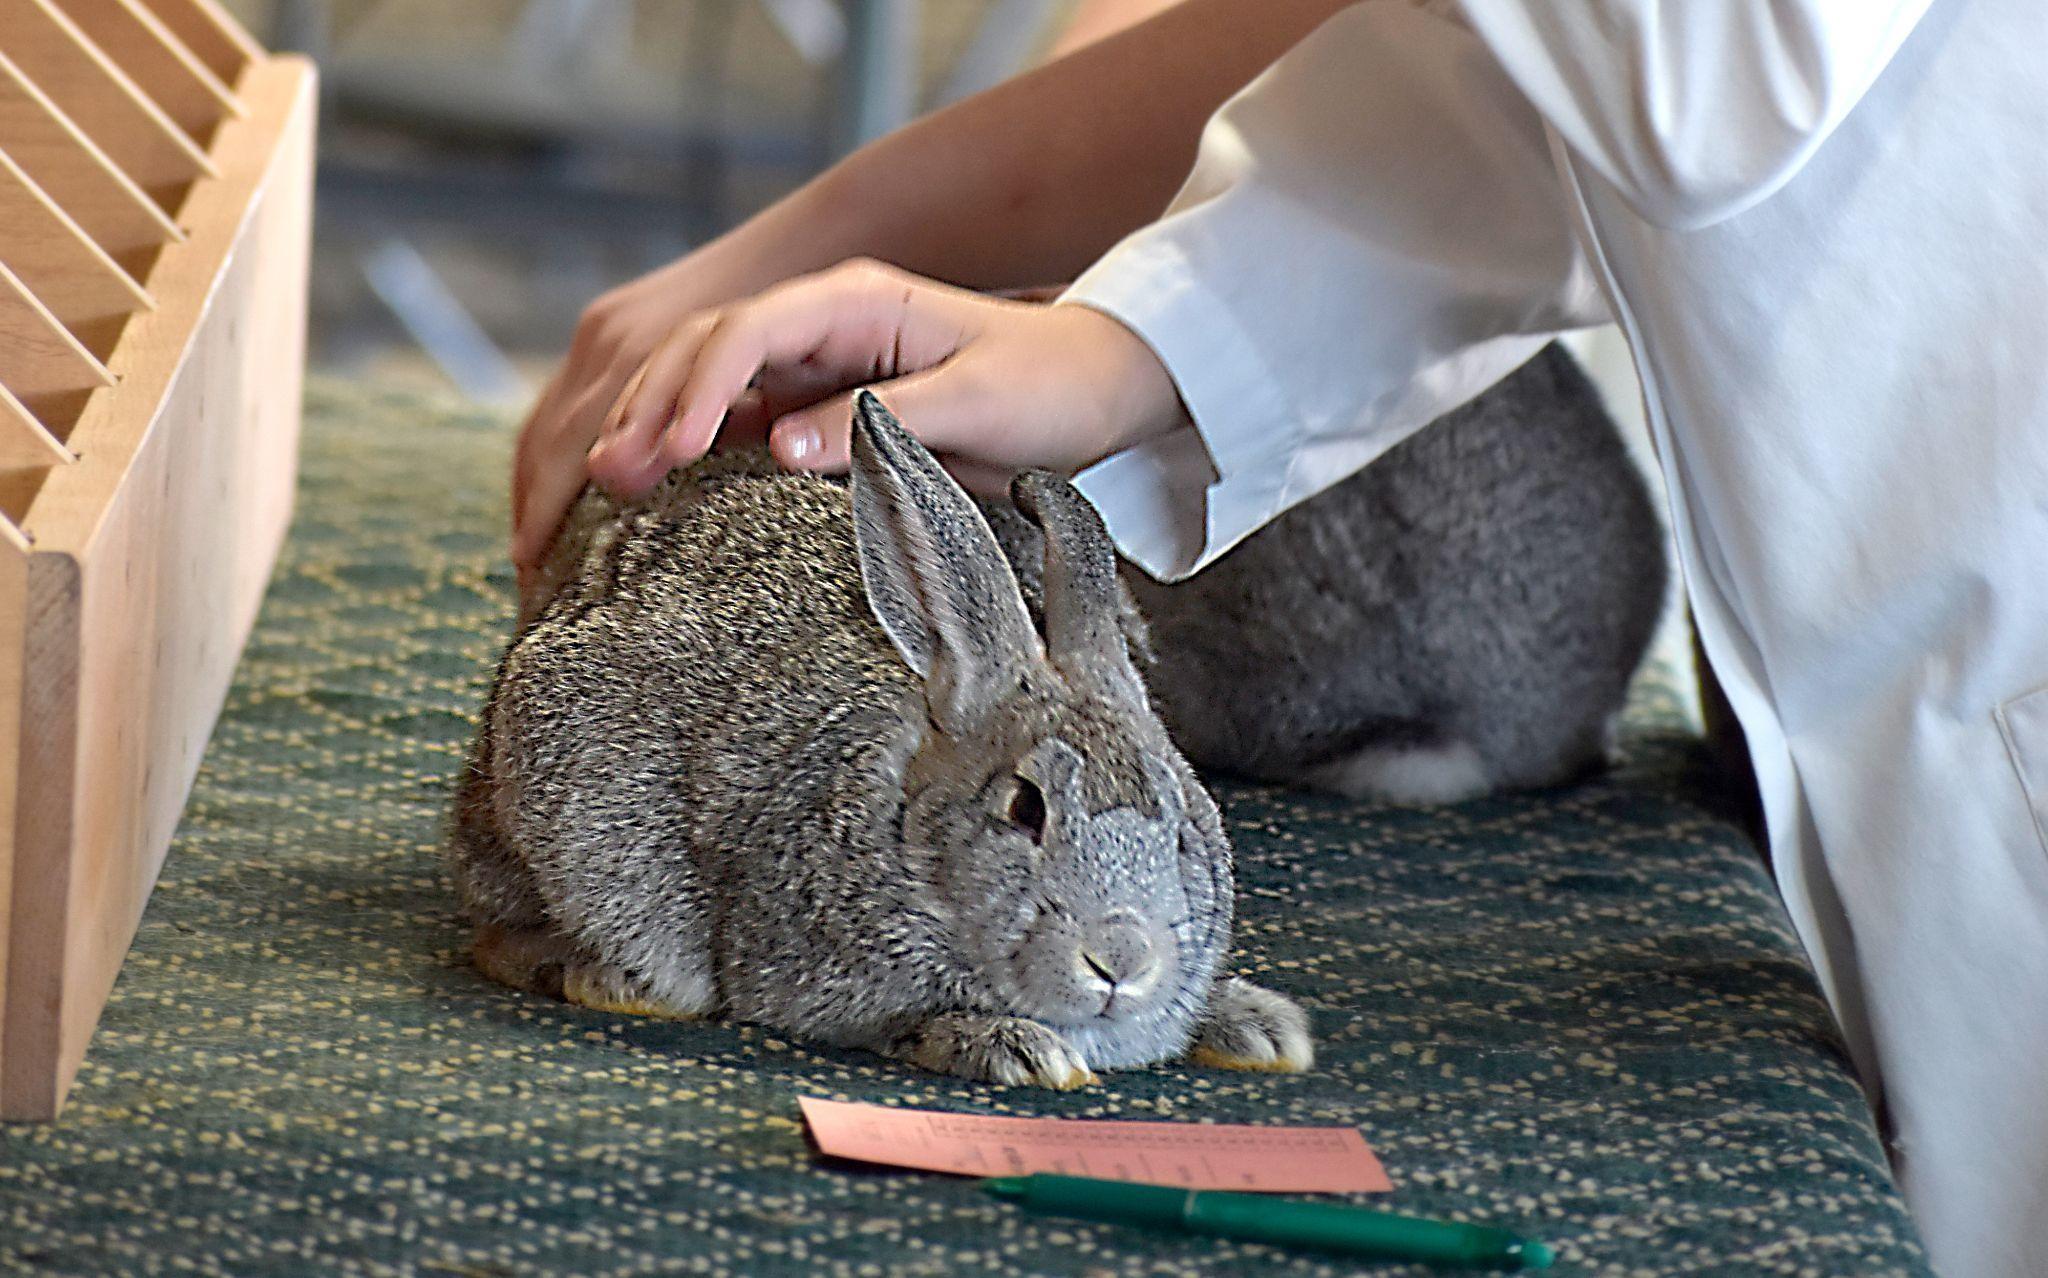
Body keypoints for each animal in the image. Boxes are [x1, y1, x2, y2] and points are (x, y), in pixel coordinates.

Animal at [447, 393, 1311, 1088]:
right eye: (1024, 809)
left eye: (1183, 833)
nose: (1121, 960)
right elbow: (899, 1023)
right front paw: (1016, 1049)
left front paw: (1258, 1028)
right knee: (505, 938)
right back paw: (607, 981)